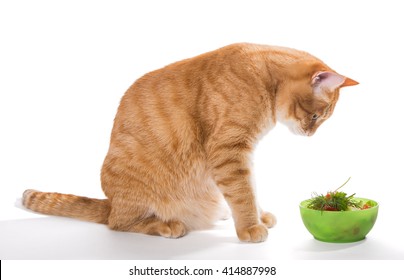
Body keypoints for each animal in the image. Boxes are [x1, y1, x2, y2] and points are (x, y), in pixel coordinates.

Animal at [22, 42, 358, 242]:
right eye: (316, 117)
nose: (310, 134)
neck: (263, 78)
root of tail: (111, 202)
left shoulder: (242, 156)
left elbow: (250, 189)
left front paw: (258, 215)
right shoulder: (228, 152)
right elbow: (243, 193)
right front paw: (250, 226)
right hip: (137, 199)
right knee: (119, 223)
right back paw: (167, 224)